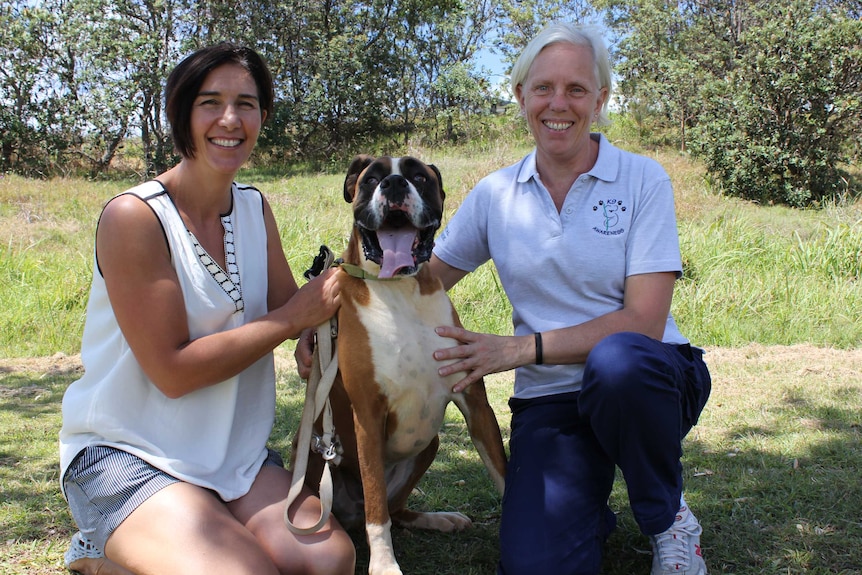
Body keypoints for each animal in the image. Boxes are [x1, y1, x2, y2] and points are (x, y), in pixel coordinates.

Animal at [302, 155, 510, 572]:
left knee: (398, 510)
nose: (395, 183)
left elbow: (502, 472)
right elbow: (377, 509)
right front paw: (384, 564)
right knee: (375, 509)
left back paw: (440, 519)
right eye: (372, 179)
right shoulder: (367, 416)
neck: (401, 292)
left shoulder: (476, 405)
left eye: (418, 176)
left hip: (429, 444)